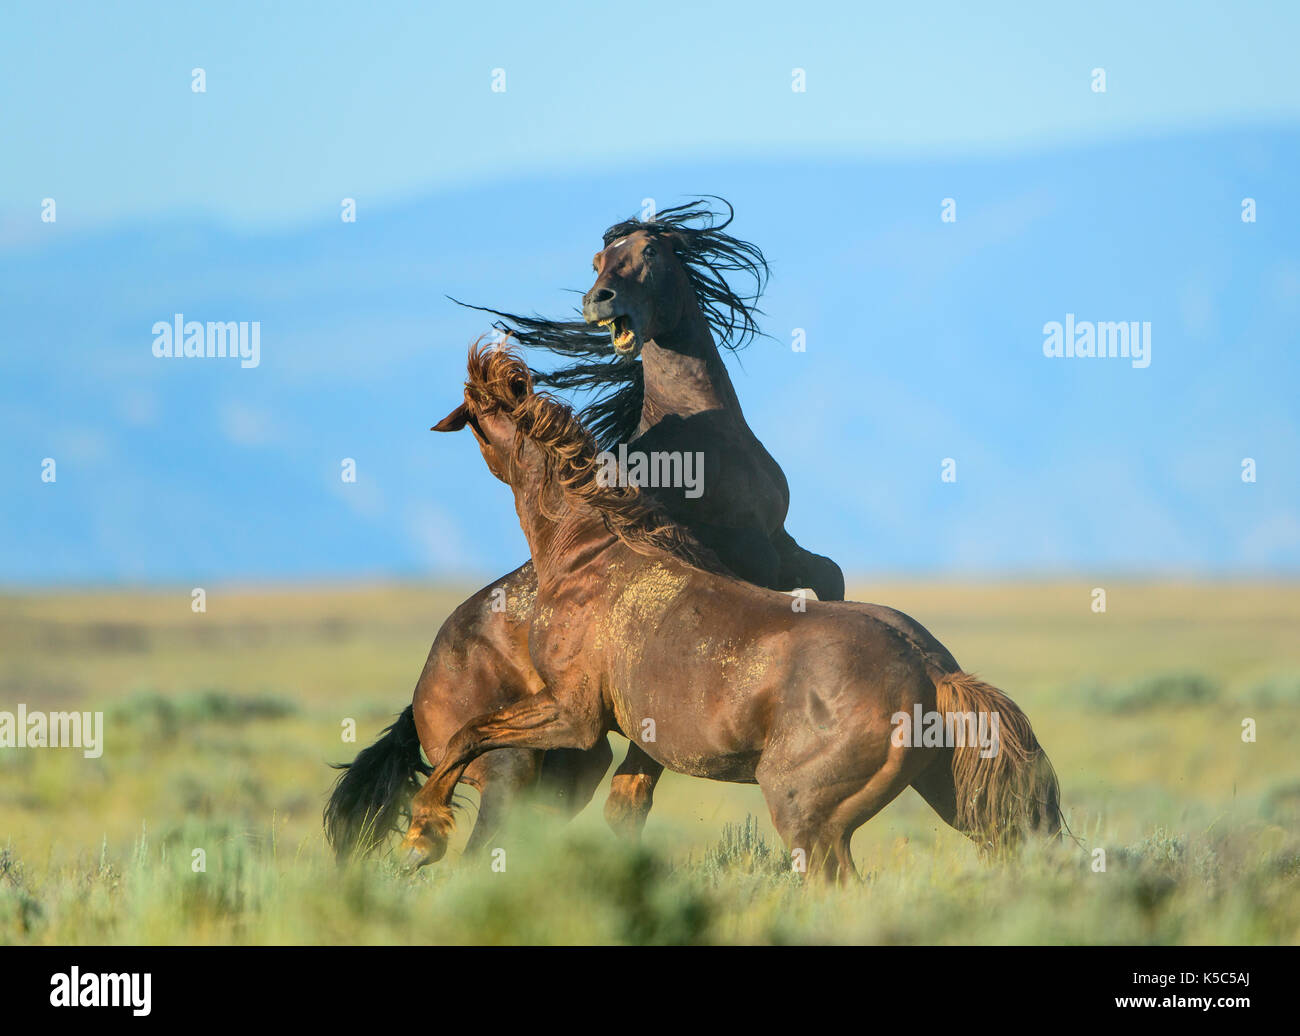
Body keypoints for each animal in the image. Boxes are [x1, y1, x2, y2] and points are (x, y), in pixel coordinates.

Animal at [325, 200, 844, 861]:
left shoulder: (782, 546)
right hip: (515, 766)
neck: (700, 439)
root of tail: (419, 698)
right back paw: (425, 835)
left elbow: (830, 575)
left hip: (568, 766)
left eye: (648, 252)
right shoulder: (749, 557)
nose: (597, 300)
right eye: (598, 260)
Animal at [403, 343, 1062, 882]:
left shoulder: (573, 715)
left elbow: (469, 734)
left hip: (808, 815)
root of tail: (931, 673)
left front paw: (421, 835)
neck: (589, 555)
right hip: (951, 797)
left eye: (476, 419)